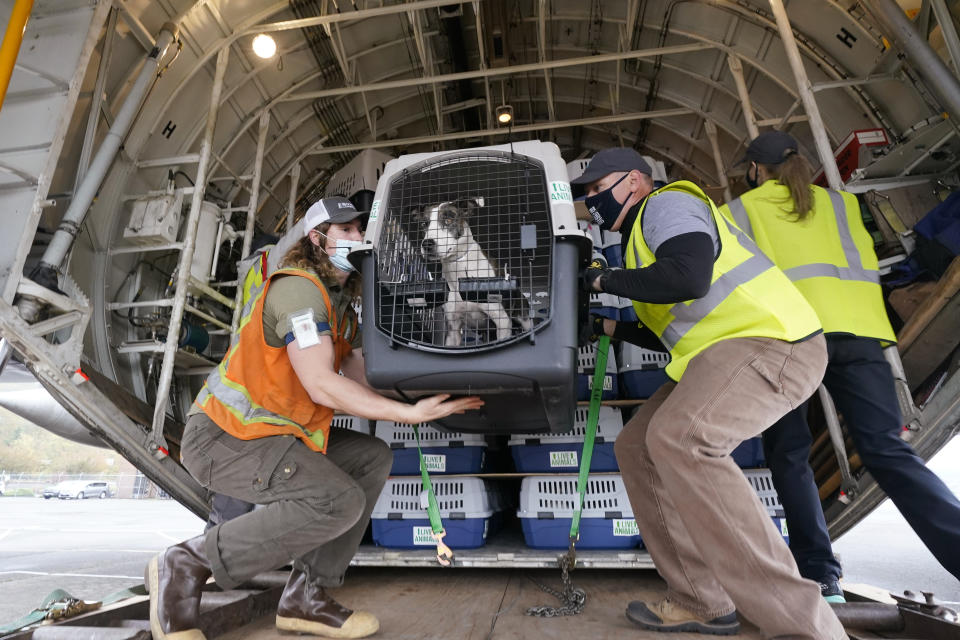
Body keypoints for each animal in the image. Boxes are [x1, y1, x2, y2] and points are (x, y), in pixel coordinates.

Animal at [412, 199, 532, 344]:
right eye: (424, 224)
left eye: (448, 220)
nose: (427, 244)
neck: (459, 265)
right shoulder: (453, 328)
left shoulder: (502, 321)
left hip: (524, 318)